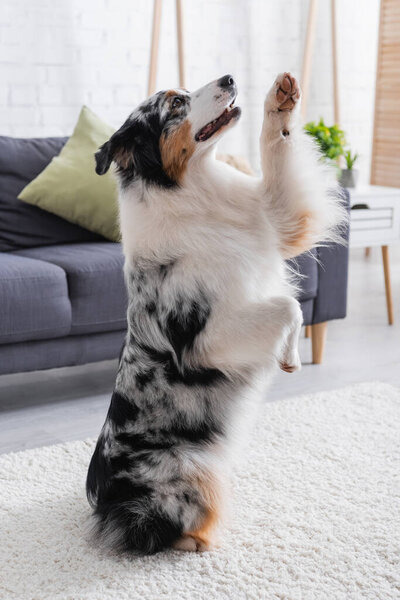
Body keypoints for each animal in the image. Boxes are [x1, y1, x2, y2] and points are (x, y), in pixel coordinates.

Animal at [85, 72, 344, 556]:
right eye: (175, 105)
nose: (229, 77)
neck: (197, 189)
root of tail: (104, 506)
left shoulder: (275, 214)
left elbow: (278, 154)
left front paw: (282, 99)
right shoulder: (206, 340)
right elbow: (288, 306)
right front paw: (287, 357)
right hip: (190, 466)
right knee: (161, 531)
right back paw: (201, 540)